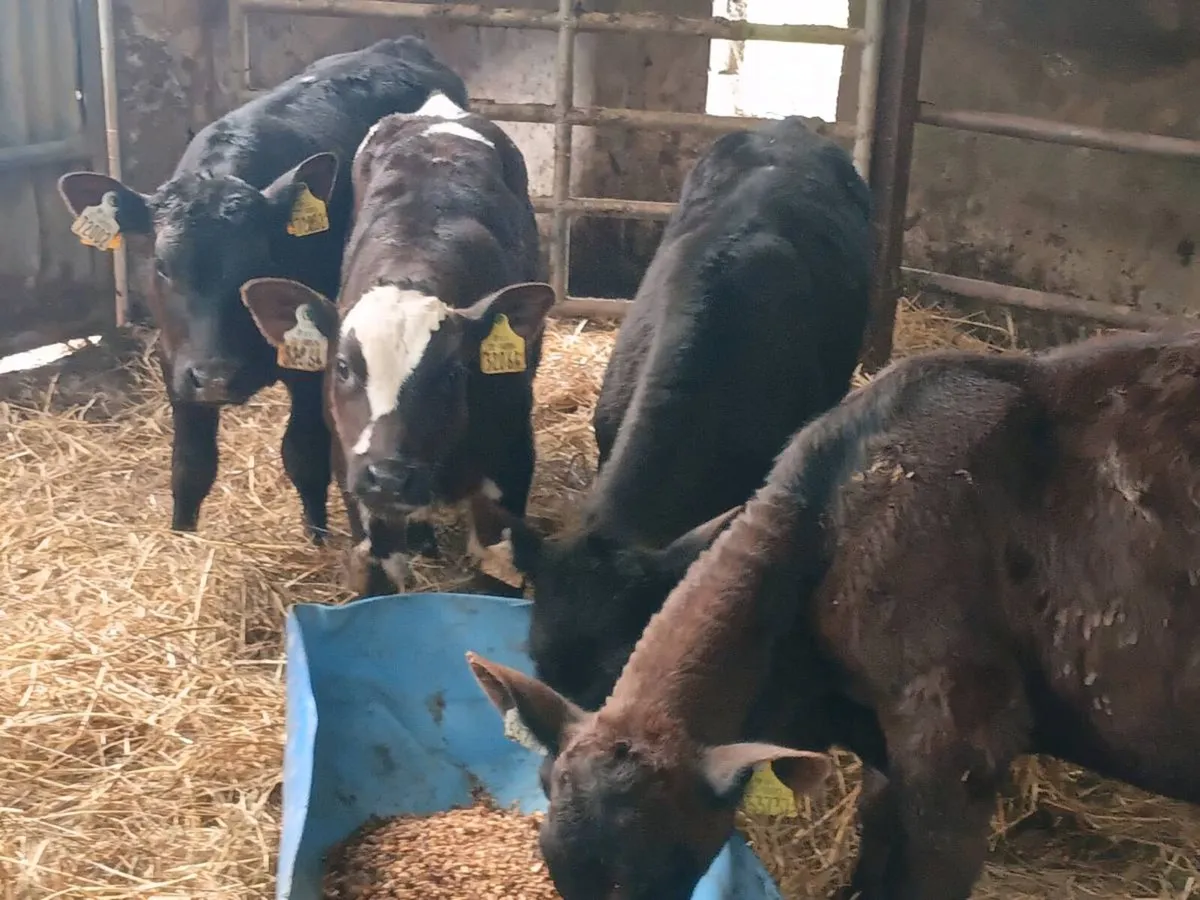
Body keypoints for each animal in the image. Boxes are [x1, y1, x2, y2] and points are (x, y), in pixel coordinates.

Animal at [57, 37, 468, 542]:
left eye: (258, 263)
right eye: (161, 265)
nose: (216, 376)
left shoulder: (315, 361)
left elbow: (302, 454)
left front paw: (317, 538)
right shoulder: (177, 363)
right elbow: (190, 465)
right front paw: (183, 536)